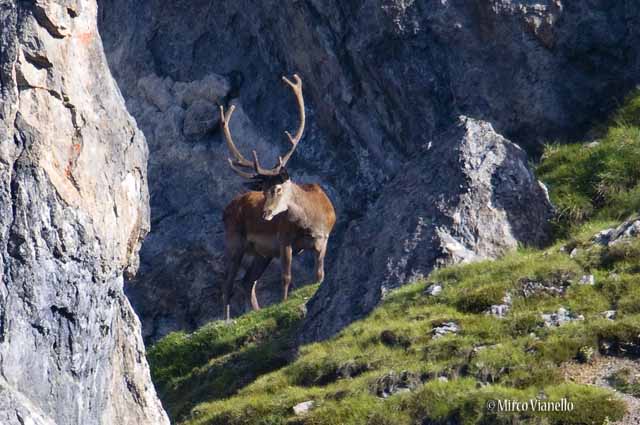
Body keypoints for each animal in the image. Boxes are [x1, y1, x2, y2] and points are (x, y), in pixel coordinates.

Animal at [219, 74, 336, 322]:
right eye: (263, 190)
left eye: (278, 188)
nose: (265, 213)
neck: (310, 223)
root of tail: (227, 209)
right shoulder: (284, 239)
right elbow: (286, 276)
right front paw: (282, 304)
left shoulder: (324, 239)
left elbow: (319, 274)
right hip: (234, 241)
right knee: (228, 283)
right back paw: (226, 319)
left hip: (261, 253)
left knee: (247, 281)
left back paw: (256, 311)